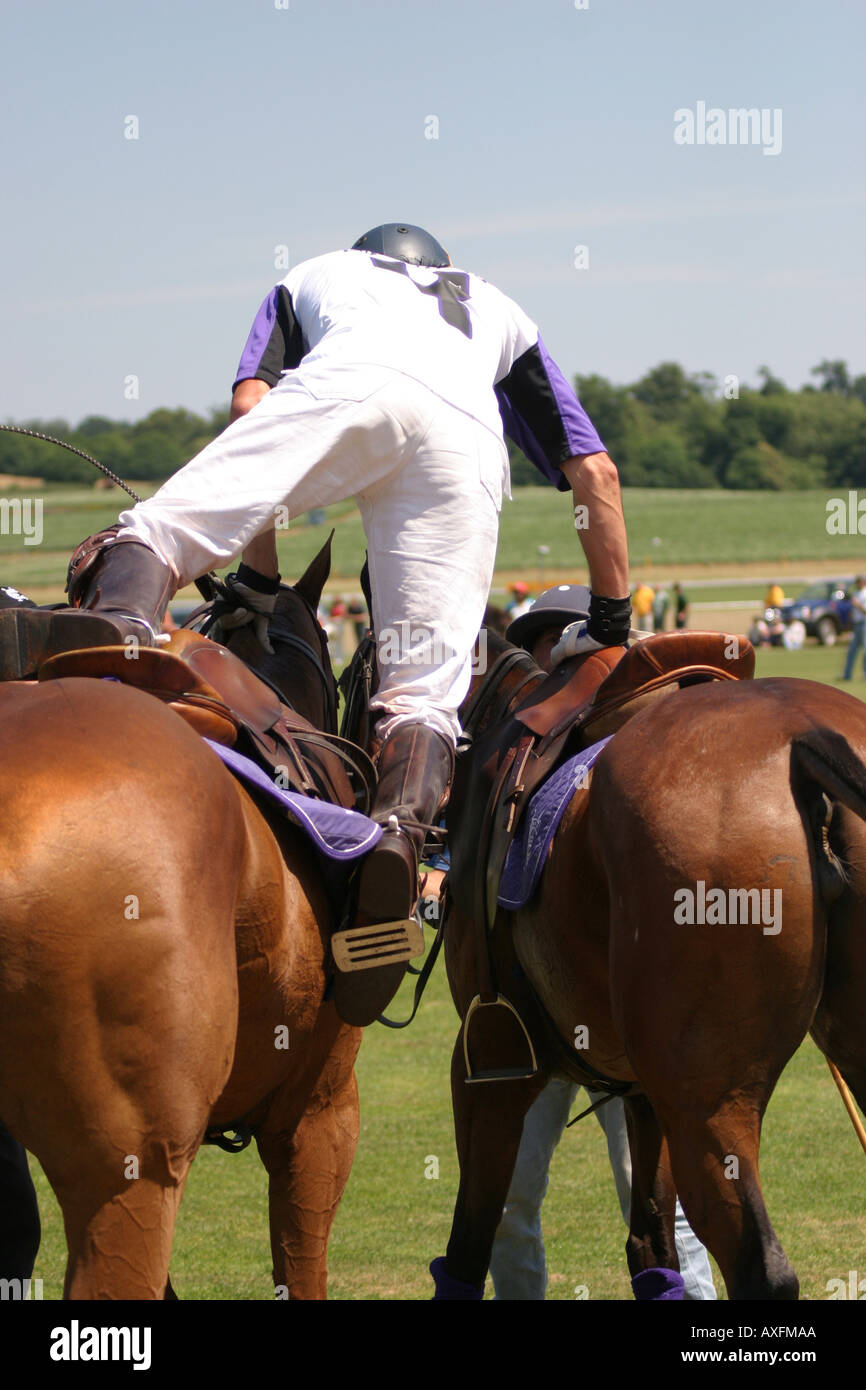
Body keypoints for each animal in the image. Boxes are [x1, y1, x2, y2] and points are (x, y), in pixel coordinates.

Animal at [436, 631, 866, 1301]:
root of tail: (805, 737)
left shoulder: (492, 1061)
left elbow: (467, 1246)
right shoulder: (640, 1089)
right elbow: (652, 1245)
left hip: (708, 1098)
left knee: (761, 1265)